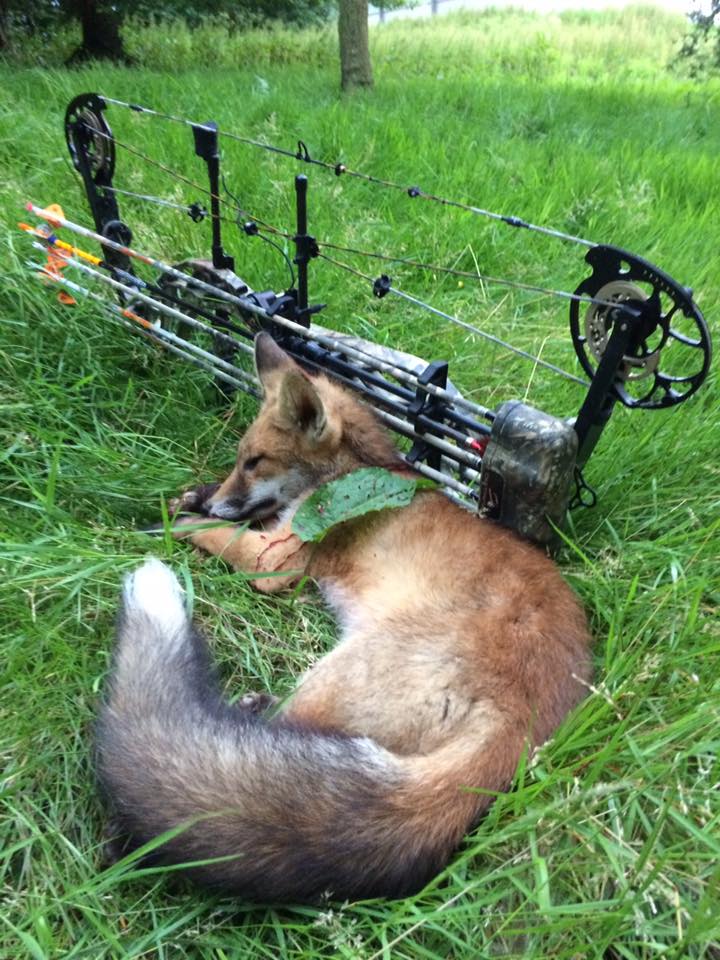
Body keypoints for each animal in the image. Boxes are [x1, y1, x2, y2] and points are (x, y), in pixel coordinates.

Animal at [95, 330, 592, 900]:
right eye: (239, 459)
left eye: (255, 461)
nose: (220, 499)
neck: (354, 474)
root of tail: (527, 725)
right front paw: (192, 496)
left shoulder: (277, 562)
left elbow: (208, 533)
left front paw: (163, 520)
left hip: (335, 675)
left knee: (267, 739)